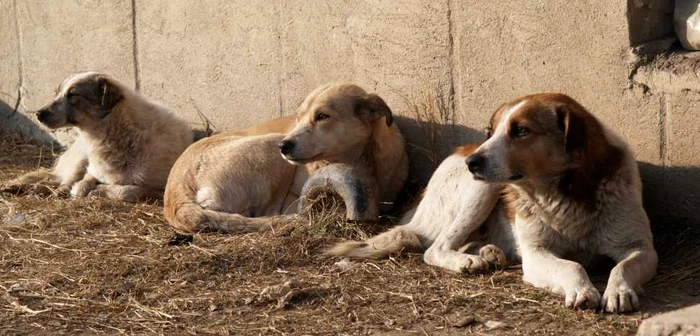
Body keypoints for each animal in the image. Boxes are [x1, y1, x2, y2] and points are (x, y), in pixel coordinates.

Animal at [1, 72, 193, 201]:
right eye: (58, 93)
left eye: (72, 94)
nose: (38, 114)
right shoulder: (92, 170)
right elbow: (82, 184)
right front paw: (86, 189)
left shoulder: (161, 189)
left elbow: (127, 190)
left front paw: (100, 191)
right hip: (80, 159)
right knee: (58, 181)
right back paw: (23, 188)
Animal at [163, 82, 408, 232]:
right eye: (299, 117)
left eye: (322, 116)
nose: (284, 146)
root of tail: (175, 191)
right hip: (270, 145)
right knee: (268, 214)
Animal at [330, 93, 660, 314]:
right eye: (492, 131)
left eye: (521, 130)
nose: (472, 163)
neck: (565, 194)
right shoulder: (536, 254)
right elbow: (571, 265)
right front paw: (581, 288)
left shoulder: (641, 247)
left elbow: (623, 266)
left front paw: (618, 290)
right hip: (482, 190)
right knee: (435, 248)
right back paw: (468, 261)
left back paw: (488, 252)